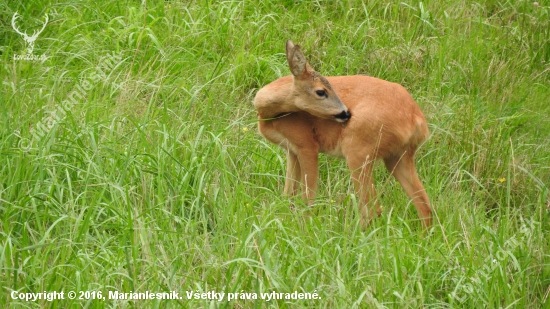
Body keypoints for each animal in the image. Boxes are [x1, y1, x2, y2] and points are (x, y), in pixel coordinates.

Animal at [252, 40, 434, 226]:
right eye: (321, 91)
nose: (346, 113)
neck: (266, 115)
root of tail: (417, 120)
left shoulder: (306, 144)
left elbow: (308, 198)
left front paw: (305, 226)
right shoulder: (291, 150)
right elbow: (287, 195)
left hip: (358, 151)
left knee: (373, 208)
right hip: (398, 156)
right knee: (425, 206)